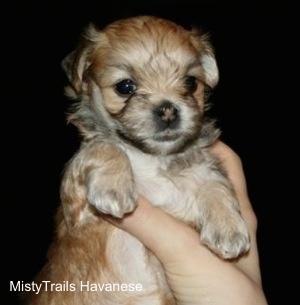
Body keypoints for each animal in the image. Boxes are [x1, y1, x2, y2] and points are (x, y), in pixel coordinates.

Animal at [27, 15, 250, 302]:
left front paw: (229, 227)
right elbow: (105, 146)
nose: (168, 110)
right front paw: (113, 188)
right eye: (125, 87)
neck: (151, 157)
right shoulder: (77, 210)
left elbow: (215, 182)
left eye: (191, 83)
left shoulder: (200, 171)